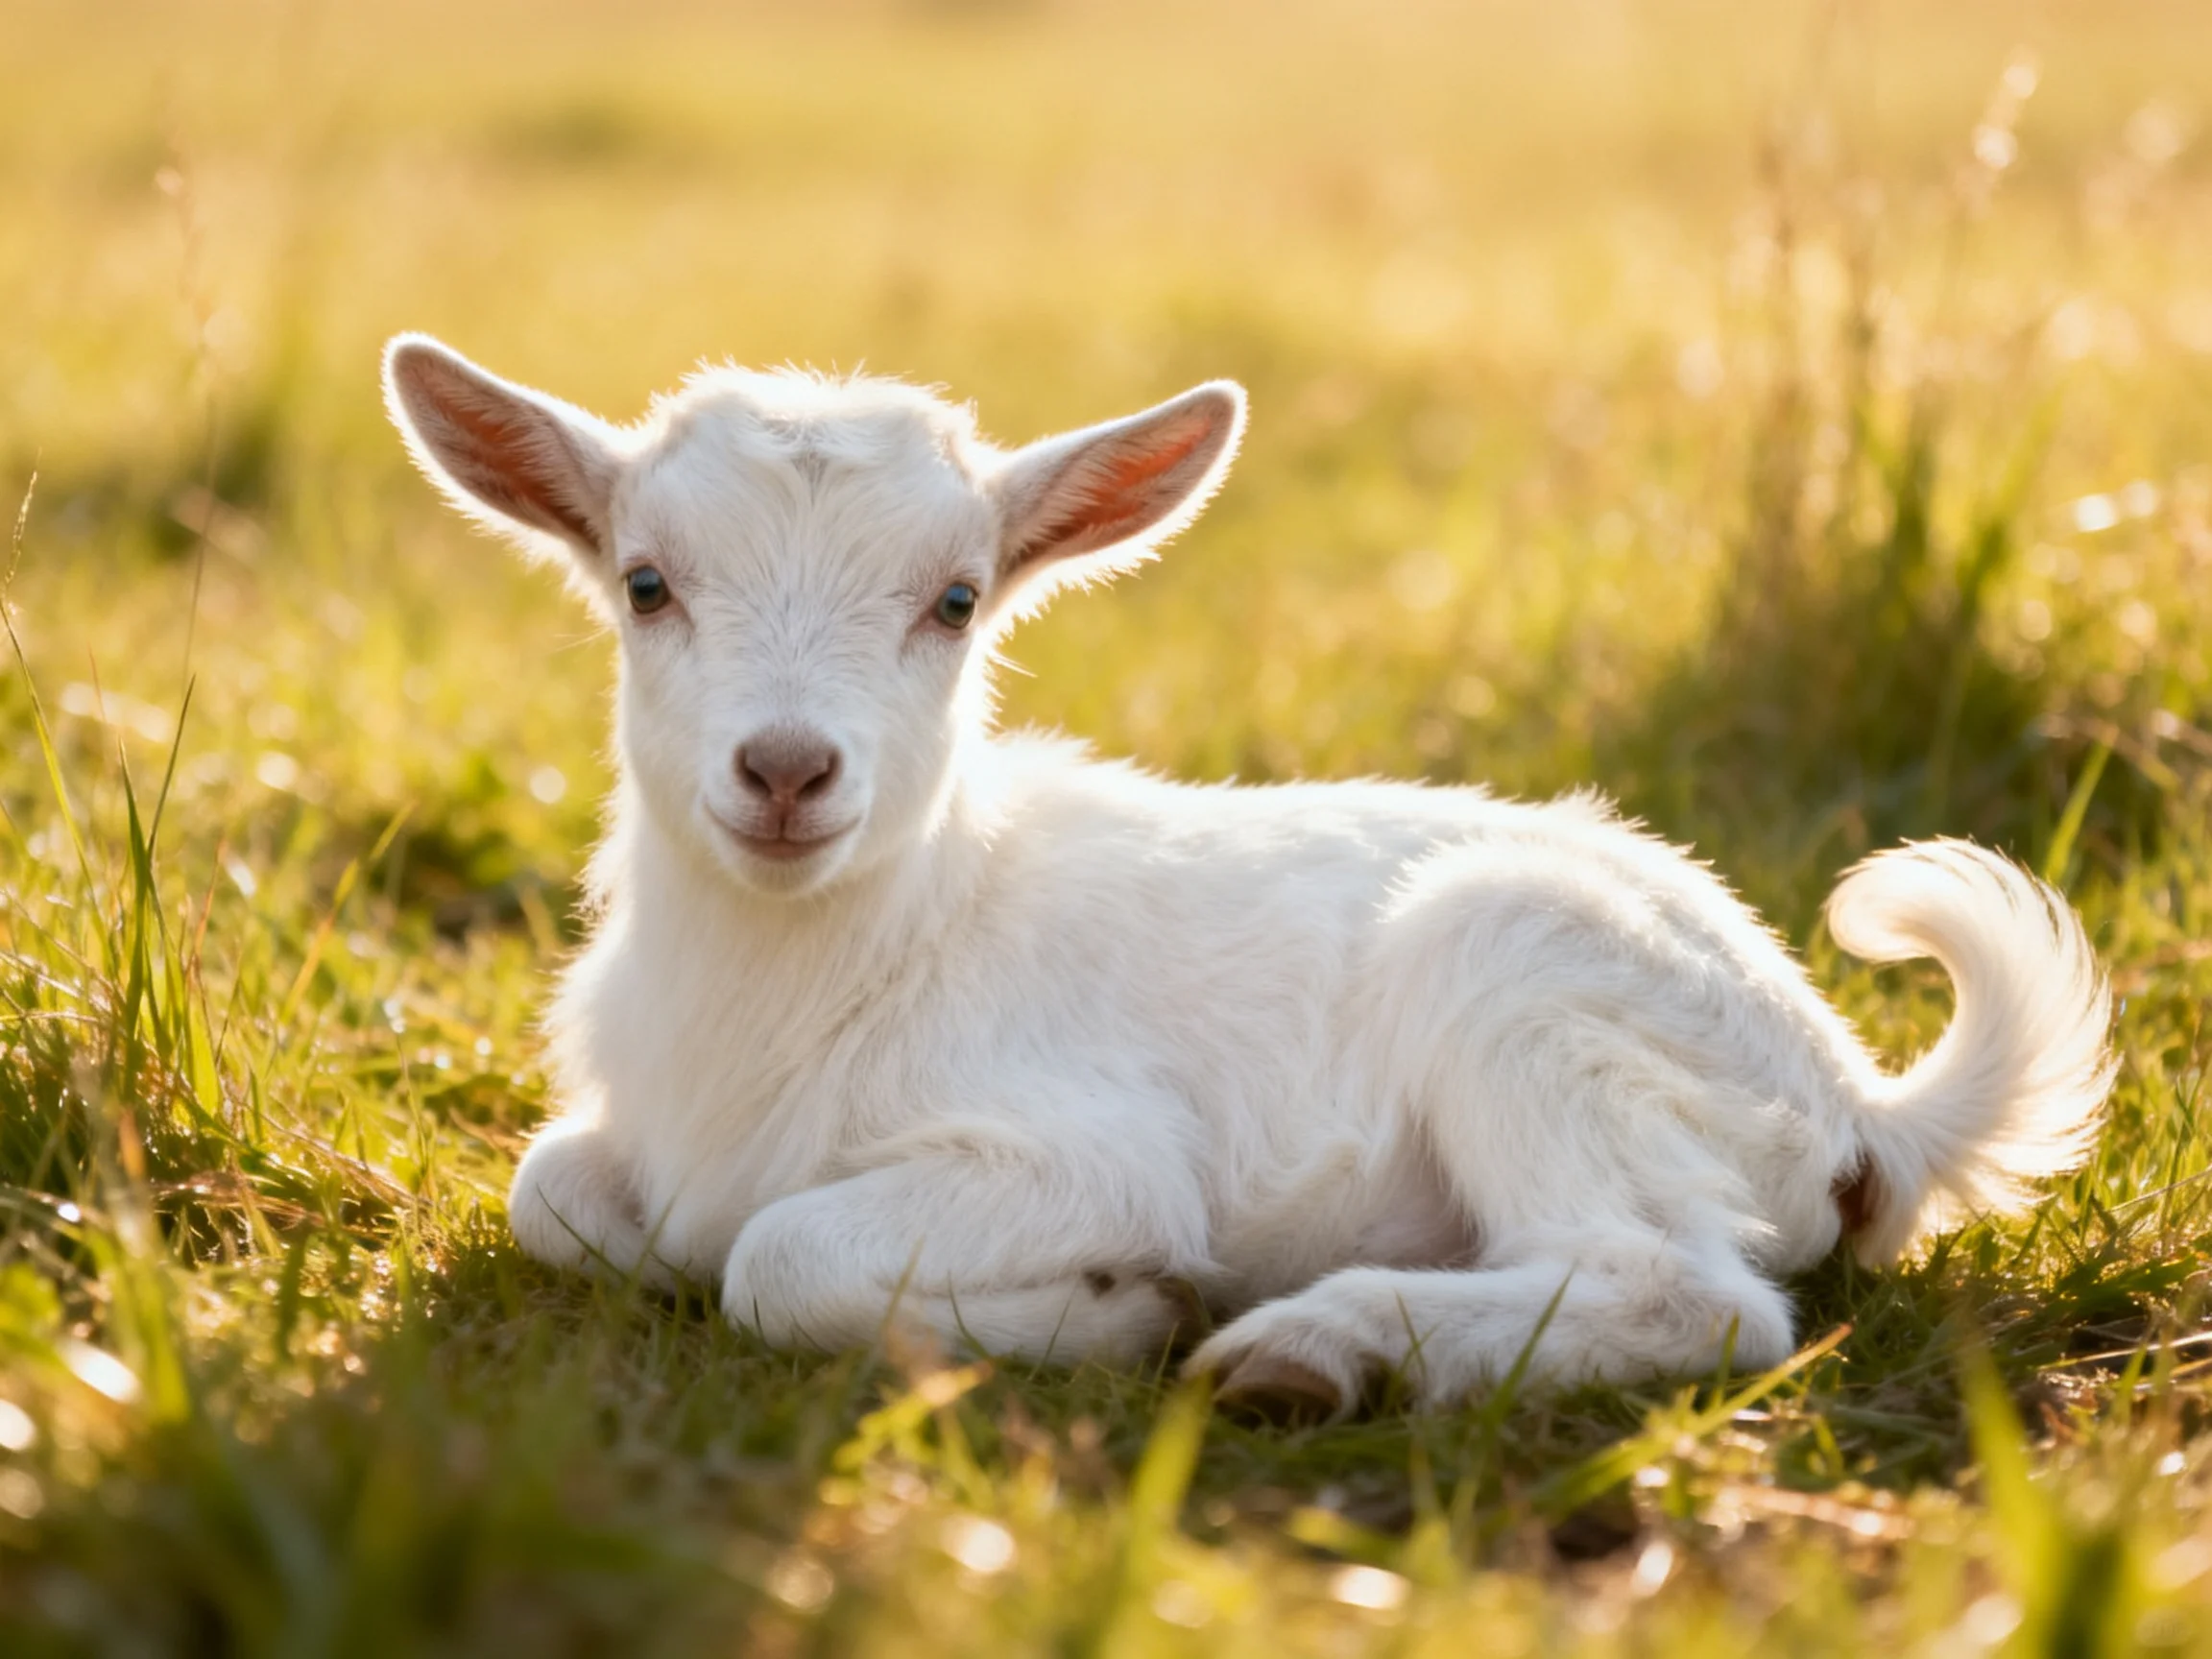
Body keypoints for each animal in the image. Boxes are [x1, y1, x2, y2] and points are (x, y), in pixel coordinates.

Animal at [382, 334, 2116, 1420]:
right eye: (645, 582)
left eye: (954, 598)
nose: (788, 771)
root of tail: (1858, 1103)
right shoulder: (619, 1152)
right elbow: (556, 1195)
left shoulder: (1093, 1152)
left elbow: (771, 1257)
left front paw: (1106, 1312)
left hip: (1523, 985)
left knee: (1688, 1294)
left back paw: (1313, 1348)